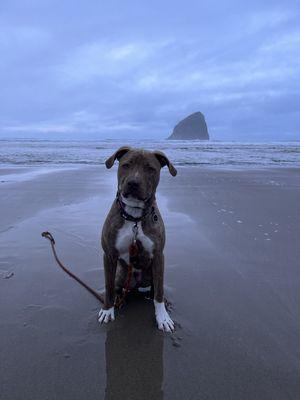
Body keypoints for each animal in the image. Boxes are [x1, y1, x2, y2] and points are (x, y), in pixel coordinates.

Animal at [98, 146, 177, 332]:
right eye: (126, 165)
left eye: (150, 169)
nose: (133, 183)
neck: (134, 217)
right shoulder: (109, 255)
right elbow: (108, 285)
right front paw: (107, 310)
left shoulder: (158, 256)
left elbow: (159, 292)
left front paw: (162, 317)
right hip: (120, 274)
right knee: (117, 287)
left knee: (155, 289)